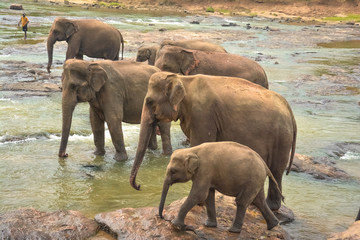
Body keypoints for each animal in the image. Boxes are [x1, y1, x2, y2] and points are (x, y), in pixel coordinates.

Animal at [129, 72, 296, 211]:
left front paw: (198, 204)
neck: (183, 80)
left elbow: (200, 143)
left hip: (281, 137)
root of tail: (289, 110)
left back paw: (271, 206)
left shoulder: (203, 115)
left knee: (276, 170)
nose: (139, 186)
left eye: (149, 101)